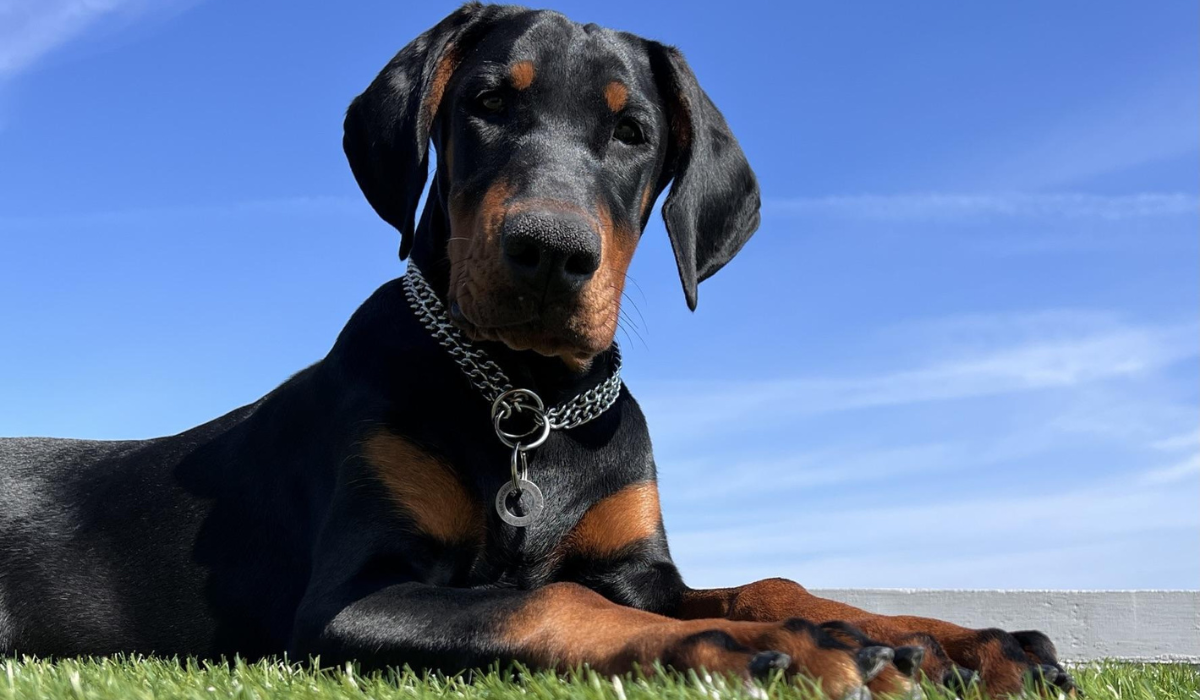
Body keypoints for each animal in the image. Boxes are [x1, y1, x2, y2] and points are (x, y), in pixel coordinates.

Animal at [0, 4, 1080, 696]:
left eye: (633, 129)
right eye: (485, 103)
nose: (551, 253)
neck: (528, 401)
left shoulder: (640, 568)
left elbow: (768, 583)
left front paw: (962, 642)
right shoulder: (351, 602)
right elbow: (544, 598)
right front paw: (773, 647)